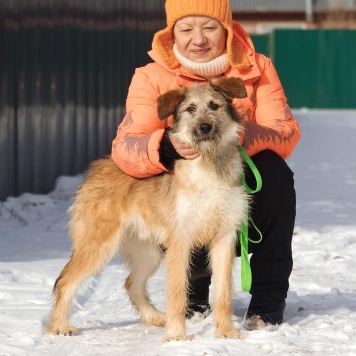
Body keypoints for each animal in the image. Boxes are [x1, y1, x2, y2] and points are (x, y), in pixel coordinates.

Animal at [46, 76, 249, 340]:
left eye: (214, 106)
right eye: (190, 109)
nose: (204, 127)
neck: (208, 164)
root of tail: (95, 169)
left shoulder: (224, 237)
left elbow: (224, 292)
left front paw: (226, 332)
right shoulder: (181, 240)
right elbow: (177, 292)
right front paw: (176, 336)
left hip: (148, 252)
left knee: (131, 283)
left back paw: (154, 317)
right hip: (98, 244)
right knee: (65, 281)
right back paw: (59, 326)